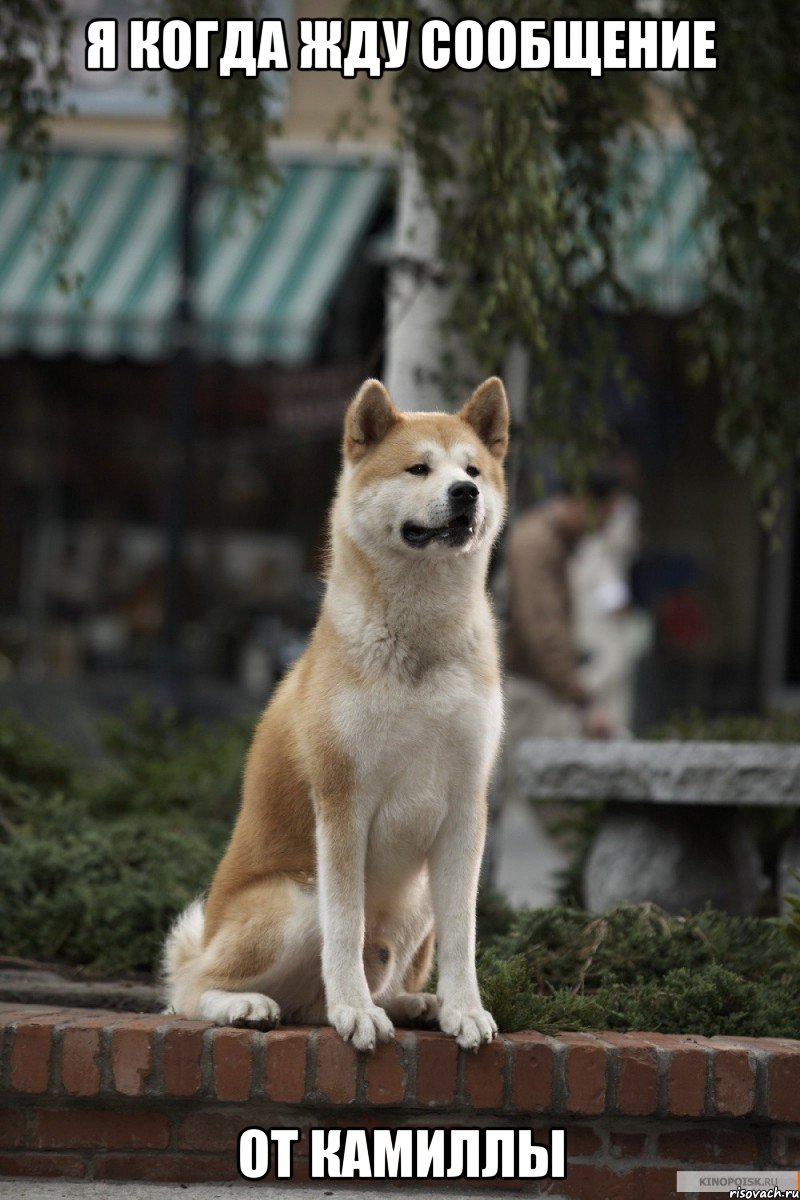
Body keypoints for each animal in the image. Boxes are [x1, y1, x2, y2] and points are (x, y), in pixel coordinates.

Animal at [165, 376, 510, 1051]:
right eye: (418, 468)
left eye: (473, 470)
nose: (466, 493)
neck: (420, 644)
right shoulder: (343, 801)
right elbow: (346, 928)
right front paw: (355, 1011)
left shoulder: (466, 806)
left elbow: (465, 935)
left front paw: (464, 1008)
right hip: (296, 900)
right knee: (189, 990)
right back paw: (250, 1005)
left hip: (417, 900)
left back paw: (415, 1004)